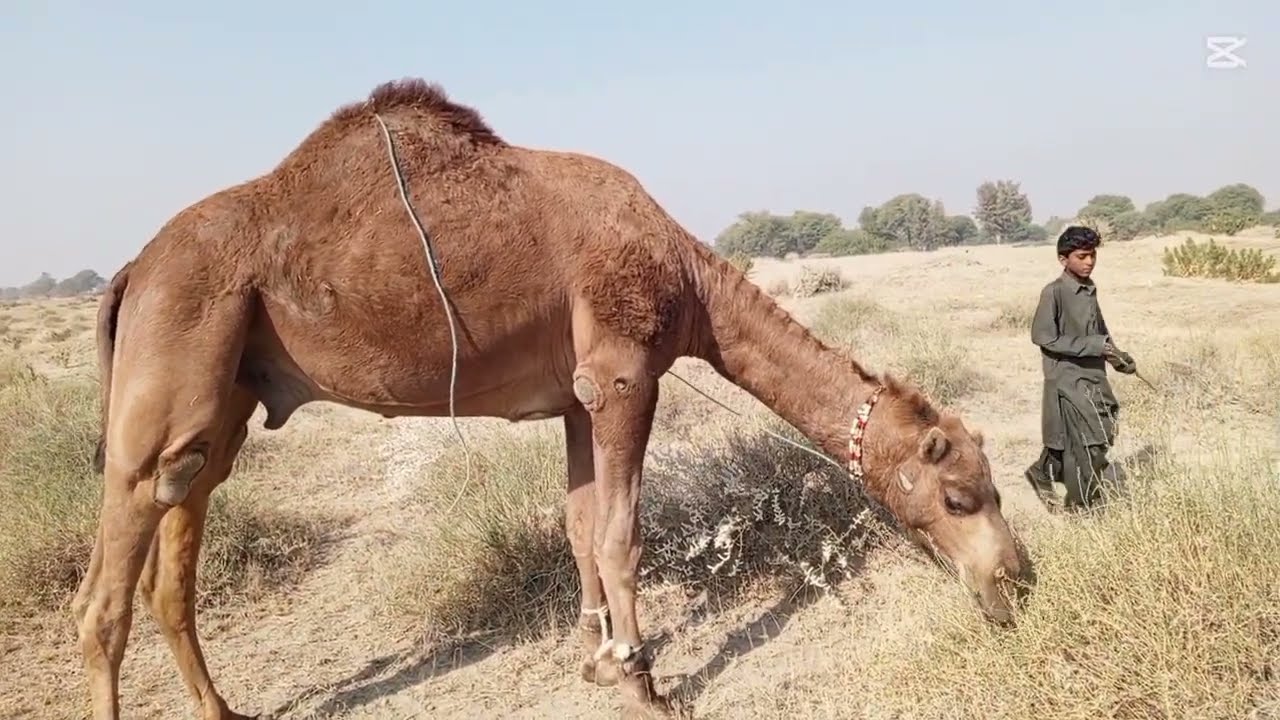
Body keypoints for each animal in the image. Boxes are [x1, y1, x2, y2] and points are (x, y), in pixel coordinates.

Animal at [74, 77, 1029, 720]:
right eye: (959, 495)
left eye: (995, 487)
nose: (1016, 581)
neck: (688, 279)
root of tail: (130, 271)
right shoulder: (623, 374)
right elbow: (622, 533)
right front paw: (641, 679)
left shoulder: (574, 397)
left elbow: (579, 525)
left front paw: (594, 656)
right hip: (176, 350)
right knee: (106, 589)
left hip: (227, 395)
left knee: (178, 537)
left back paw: (223, 708)